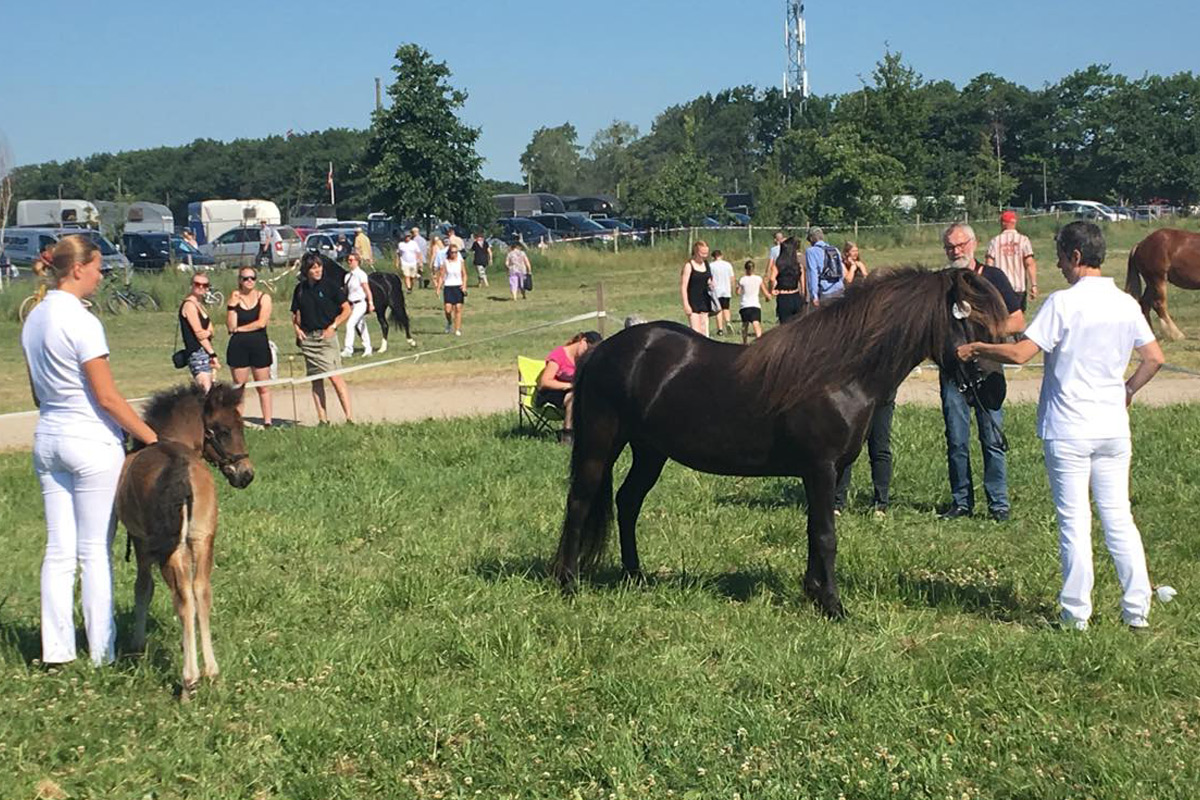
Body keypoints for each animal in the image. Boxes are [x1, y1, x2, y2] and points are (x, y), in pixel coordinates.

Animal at [118, 383, 254, 695]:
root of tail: (180, 469)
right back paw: (211, 671)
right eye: (224, 430)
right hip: (203, 538)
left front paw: (138, 645)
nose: (246, 475)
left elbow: (143, 589)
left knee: (183, 598)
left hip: (172, 547)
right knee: (202, 591)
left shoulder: (141, 543)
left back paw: (189, 678)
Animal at [556, 266, 1008, 618]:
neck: (837, 372)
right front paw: (833, 606)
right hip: (601, 444)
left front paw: (813, 594)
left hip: (651, 452)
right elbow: (826, 535)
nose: (994, 392)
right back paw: (568, 583)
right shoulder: (820, 468)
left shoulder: (826, 472)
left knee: (628, 502)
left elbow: (814, 531)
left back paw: (635, 575)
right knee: (580, 501)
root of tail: (602, 351)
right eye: (974, 322)